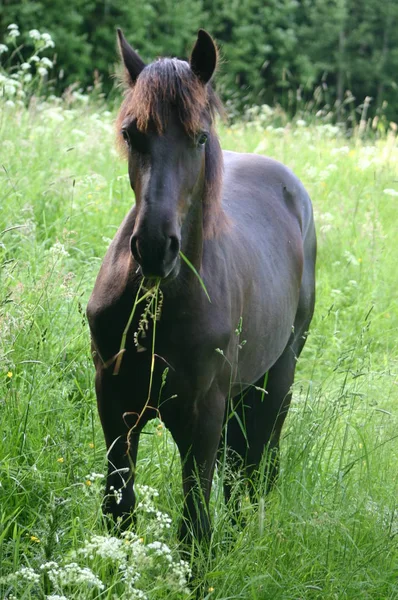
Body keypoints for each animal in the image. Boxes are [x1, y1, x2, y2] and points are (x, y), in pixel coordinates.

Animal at [88, 29, 318, 544]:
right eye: (131, 133)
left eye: (199, 137)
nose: (155, 247)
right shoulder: (114, 403)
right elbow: (119, 509)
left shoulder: (203, 415)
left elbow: (196, 524)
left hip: (276, 381)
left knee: (251, 469)